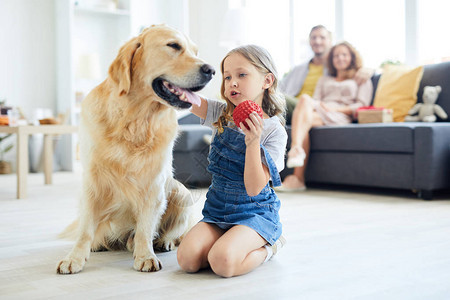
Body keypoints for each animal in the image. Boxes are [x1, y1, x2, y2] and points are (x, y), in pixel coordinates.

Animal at [56, 25, 214, 274]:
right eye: (173, 46)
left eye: (195, 51)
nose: (211, 70)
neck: (135, 120)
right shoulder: (92, 182)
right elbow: (85, 229)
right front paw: (74, 257)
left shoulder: (154, 184)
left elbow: (145, 227)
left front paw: (145, 255)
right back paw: (99, 244)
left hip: (181, 192)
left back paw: (163, 241)